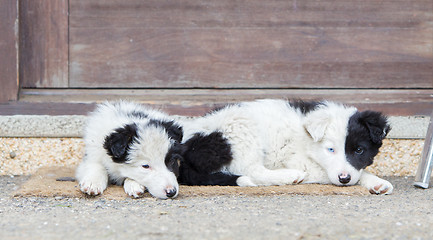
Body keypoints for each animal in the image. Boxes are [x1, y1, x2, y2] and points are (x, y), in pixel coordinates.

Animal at [177, 98, 394, 194]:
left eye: (359, 150)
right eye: (330, 149)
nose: (344, 179)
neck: (308, 140)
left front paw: (376, 183)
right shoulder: (302, 161)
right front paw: (373, 180)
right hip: (240, 128)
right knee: (252, 170)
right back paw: (290, 176)